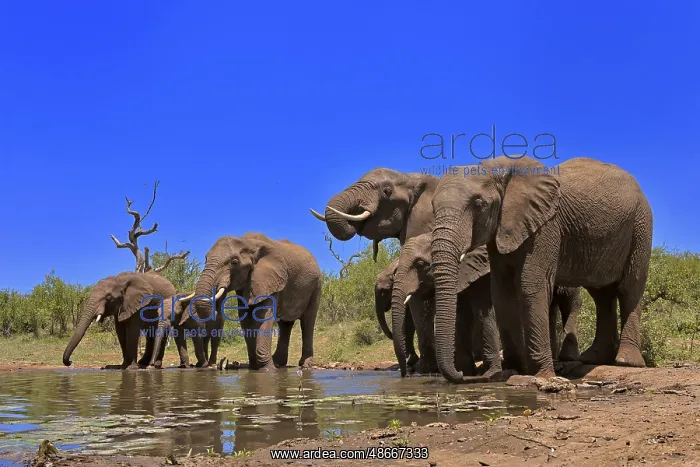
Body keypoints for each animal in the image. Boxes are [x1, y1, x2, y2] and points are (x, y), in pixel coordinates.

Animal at [191, 232, 322, 370]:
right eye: (206, 259)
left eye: (234, 262)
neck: (248, 243)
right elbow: (245, 319)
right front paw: (254, 367)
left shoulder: (271, 279)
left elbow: (263, 316)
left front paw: (267, 369)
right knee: (285, 324)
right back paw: (278, 362)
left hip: (316, 285)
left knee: (308, 321)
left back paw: (305, 365)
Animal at [389, 232, 582, 379]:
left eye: (420, 264)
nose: (405, 374)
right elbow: (461, 315)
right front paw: (466, 372)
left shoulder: (483, 274)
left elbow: (483, 313)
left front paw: (489, 373)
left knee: (569, 302)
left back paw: (566, 358)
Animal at [430, 156, 653, 381]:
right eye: (432, 207)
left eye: (478, 204)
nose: (461, 374)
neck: (498, 166)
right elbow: (502, 292)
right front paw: (513, 371)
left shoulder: (546, 226)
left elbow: (531, 284)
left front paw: (543, 374)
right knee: (601, 294)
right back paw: (594, 358)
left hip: (641, 226)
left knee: (629, 288)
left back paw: (626, 361)